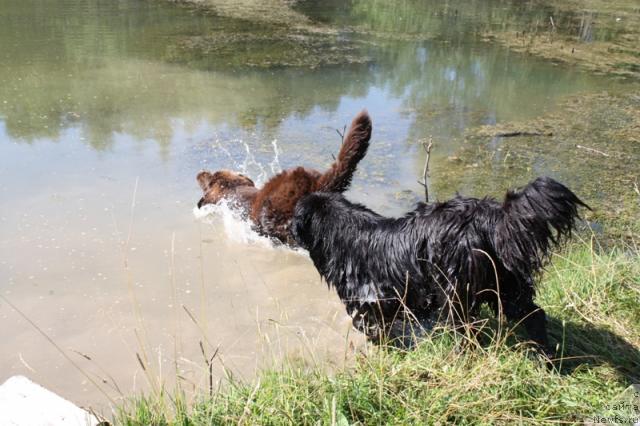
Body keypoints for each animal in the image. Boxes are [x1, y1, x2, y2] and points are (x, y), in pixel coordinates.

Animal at [292, 177, 588, 352]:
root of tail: (489, 218)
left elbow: (372, 328)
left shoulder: (369, 302)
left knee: (467, 330)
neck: (346, 232)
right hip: (505, 284)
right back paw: (546, 358)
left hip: (456, 289)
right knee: (534, 314)